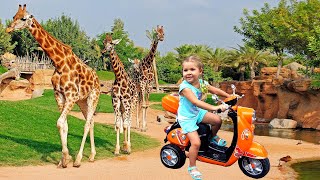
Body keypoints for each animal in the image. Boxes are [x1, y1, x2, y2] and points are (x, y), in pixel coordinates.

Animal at [6, 3, 100, 167]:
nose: (8, 29)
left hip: (93, 97)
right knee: (92, 121)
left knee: (87, 123)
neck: (59, 62)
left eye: (23, 18)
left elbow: (60, 123)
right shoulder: (59, 95)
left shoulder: (71, 96)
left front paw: (68, 158)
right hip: (82, 100)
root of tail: (98, 79)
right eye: (14, 16)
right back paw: (92, 156)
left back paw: (79, 159)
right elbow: (64, 125)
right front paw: (64, 160)